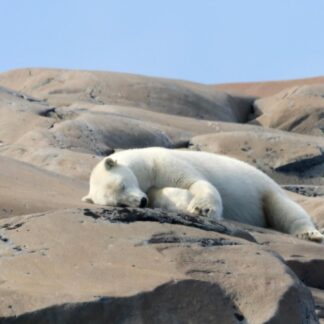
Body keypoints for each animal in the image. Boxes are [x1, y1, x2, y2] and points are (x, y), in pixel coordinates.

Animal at [82, 146, 322, 240]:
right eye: (119, 203)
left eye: (122, 185)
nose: (140, 202)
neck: (146, 163)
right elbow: (163, 195)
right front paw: (186, 203)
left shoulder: (165, 162)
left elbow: (195, 181)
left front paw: (201, 208)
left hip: (264, 188)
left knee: (284, 208)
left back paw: (310, 234)